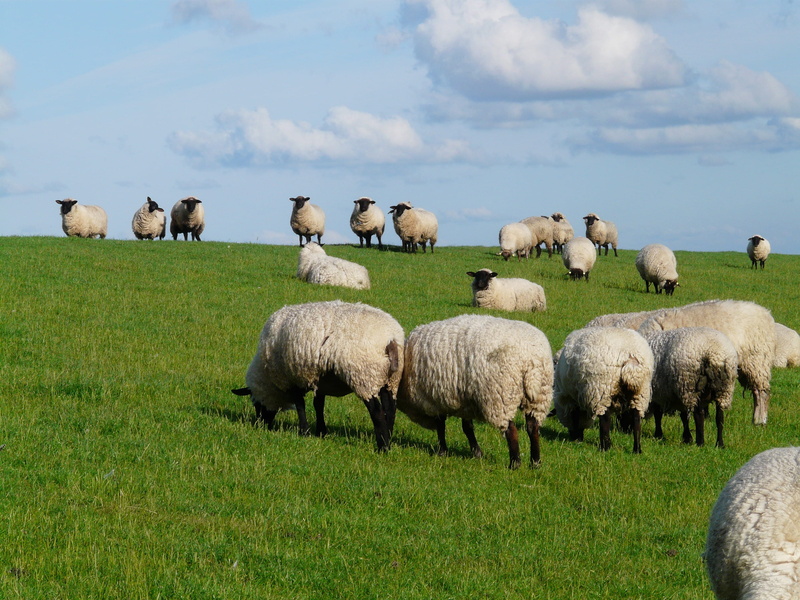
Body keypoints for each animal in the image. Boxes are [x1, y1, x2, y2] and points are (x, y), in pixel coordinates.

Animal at [231, 300, 404, 452]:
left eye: (255, 403)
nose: (260, 425)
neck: (268, 375)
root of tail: (391, 338)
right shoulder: (319, 381)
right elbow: (318, 405)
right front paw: (321, 432)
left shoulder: (292, 377)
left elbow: (300, 405)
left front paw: (304, 432)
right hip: (390, 380)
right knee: (390, 411)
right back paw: (388, 438)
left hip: (364, 376)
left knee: (378, 413)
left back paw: (383, 447)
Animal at [397, 314, 553, 469]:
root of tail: (532, 361)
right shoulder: (466, 402)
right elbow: (467, 427)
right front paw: (477, 453)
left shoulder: (434, 399)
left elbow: (442, 426)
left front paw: (442, 451)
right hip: (539, 397)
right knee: (533, 428)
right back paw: (535, 462)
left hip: (501, 396)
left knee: (511, 430)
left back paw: (515, 463)